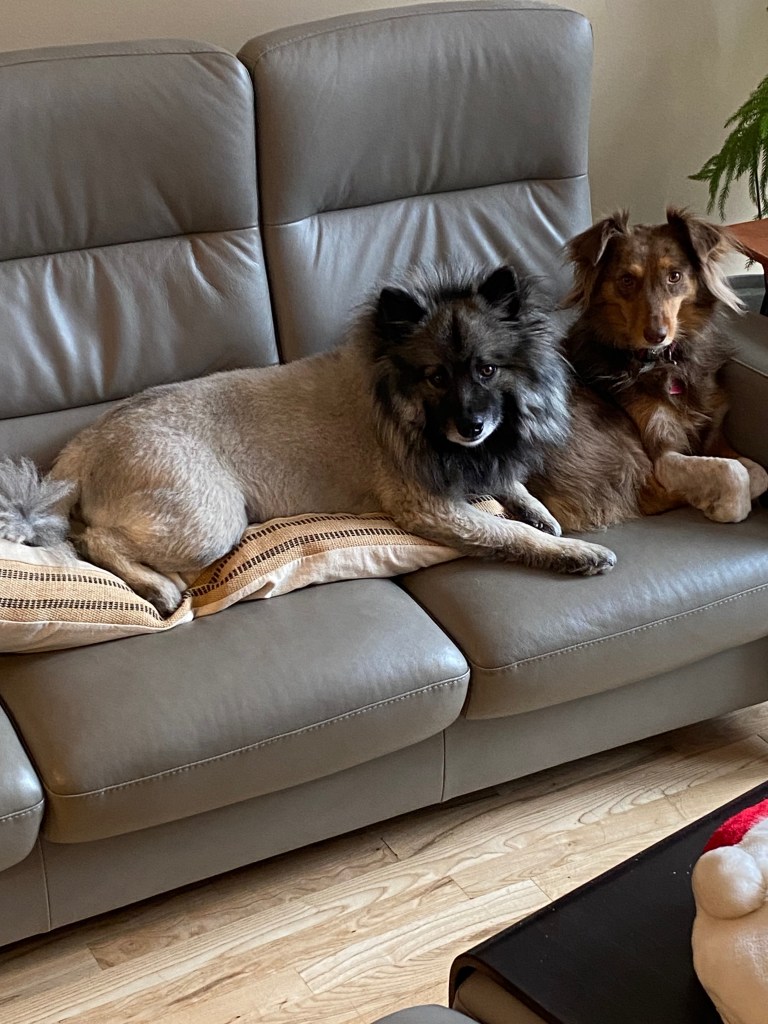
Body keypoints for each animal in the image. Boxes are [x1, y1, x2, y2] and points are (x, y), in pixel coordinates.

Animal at [0, 266, 616, 614]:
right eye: (436, 377)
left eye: (487, 370)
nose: (471, 427)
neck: (398, 401)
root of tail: (87, 444)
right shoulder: (432, 509)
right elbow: (512, 535)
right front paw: (576, 553)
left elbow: (511, 489)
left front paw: (537, 508)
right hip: (210, 522)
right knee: (94, 539)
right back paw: (157, 589)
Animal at [527, 208, 768, 532]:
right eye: (627, 280)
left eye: (674, 276)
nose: (657, 335)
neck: (663, 361)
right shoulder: (661, 454)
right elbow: (734, 472)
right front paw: (724, 507)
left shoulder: (715, 435)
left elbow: (758, 473)